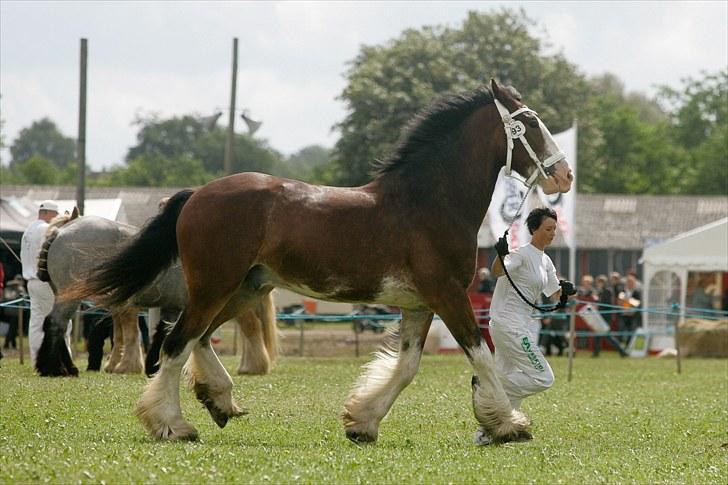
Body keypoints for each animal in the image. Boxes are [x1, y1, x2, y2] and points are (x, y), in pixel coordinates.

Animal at [64, 78, 576, 442]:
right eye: (530, 124)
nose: (565, 175)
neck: (428, 203)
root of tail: (196, 195)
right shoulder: (448, 295)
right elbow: (481, 356)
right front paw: (509, 424)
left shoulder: (418, 304)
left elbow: (407, 368)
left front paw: (362, 422)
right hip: (216, 285)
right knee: (175, 344)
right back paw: (174, 425)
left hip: (244, 288)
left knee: (197, 338)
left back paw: (221, 402)